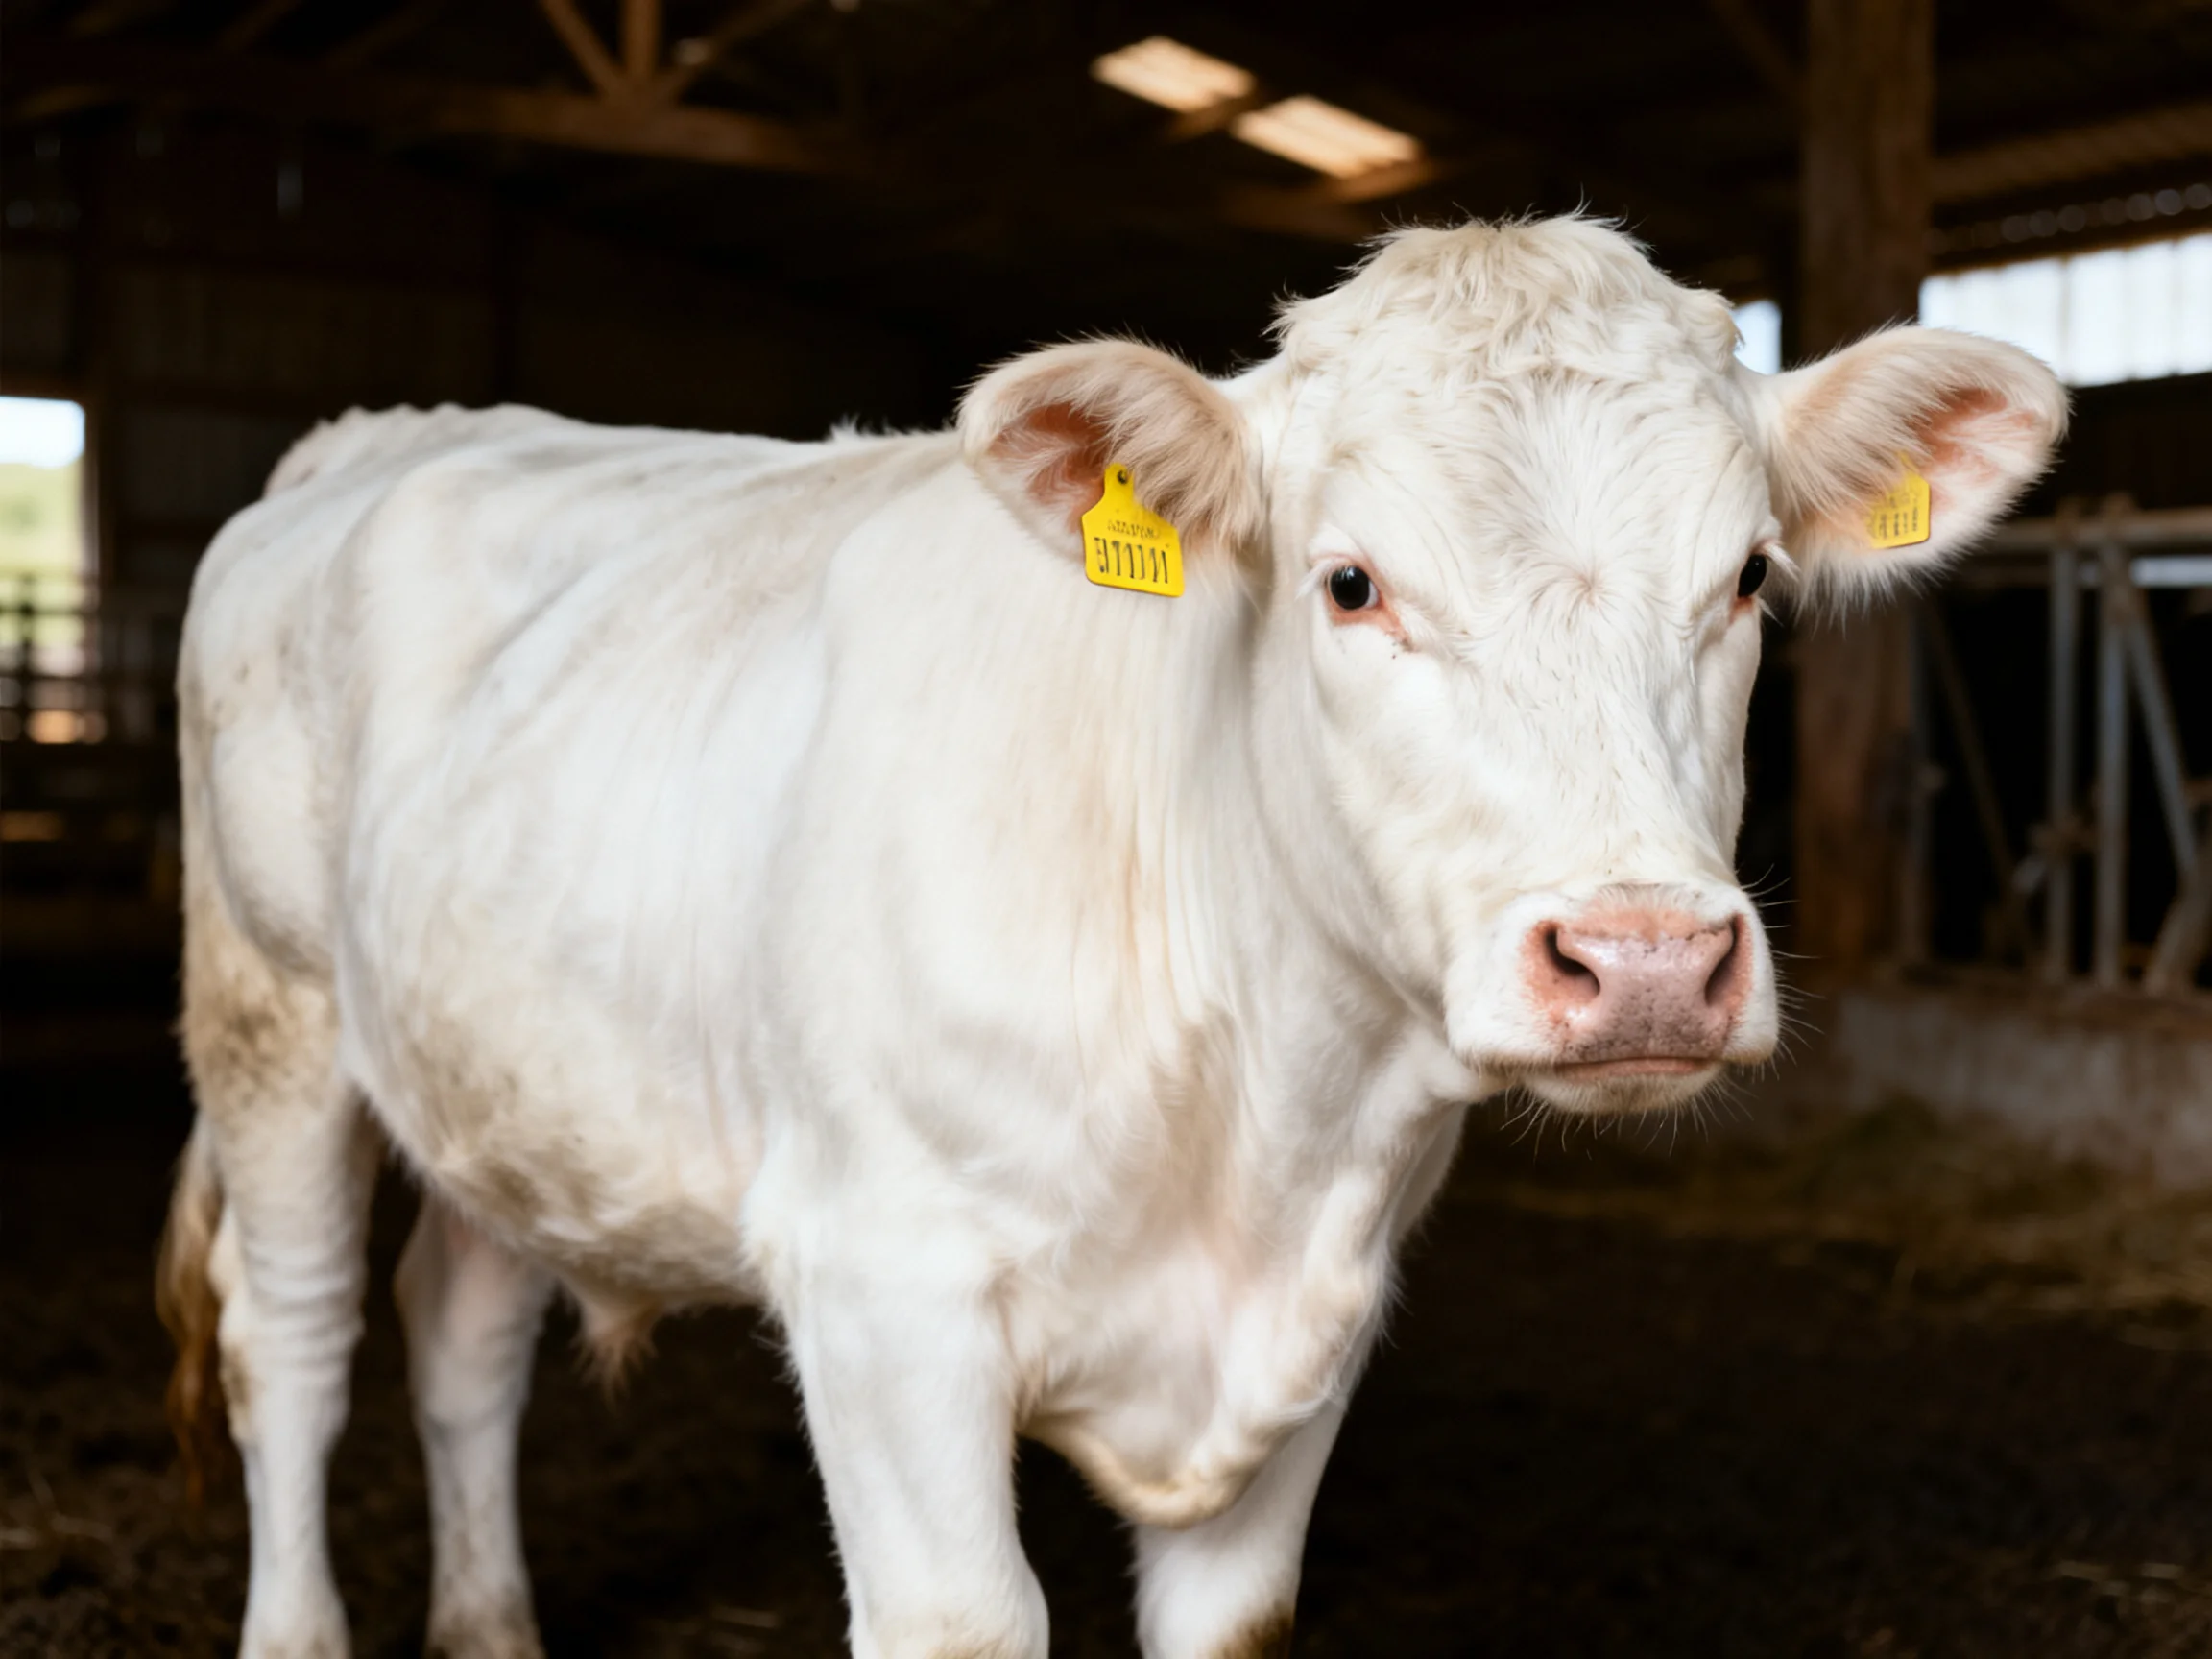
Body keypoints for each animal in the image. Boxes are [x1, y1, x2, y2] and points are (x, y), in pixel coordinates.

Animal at [157, 215, 2064, 1659]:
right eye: (1349, 583)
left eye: (1747, 578)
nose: (1647, 957)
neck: (1251, 1121)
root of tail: (383, 428)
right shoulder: (880, 1285)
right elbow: (962, 1615)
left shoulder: (1314, 1325)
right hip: (271, 1020)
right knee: (296, 1337)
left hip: (500, 1071)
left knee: (459, 1334)